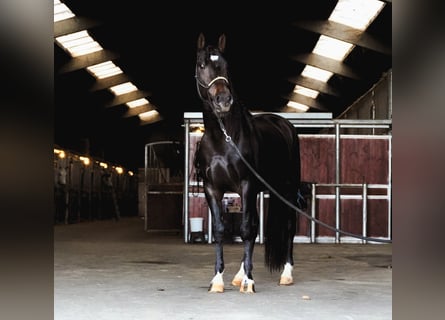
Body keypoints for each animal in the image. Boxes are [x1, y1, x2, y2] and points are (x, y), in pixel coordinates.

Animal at [195, 33, 302, 292]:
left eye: (226, 65)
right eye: (202, 65)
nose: (224, 100)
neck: (223, 138)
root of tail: (284, 124)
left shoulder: (246, 186)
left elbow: (246, 230)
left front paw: (250, 281)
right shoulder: (212, 189)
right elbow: (221, 230)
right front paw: (218, 280)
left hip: (287, 189)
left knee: (288, 227)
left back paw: (286, 274)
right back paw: (239, 275)